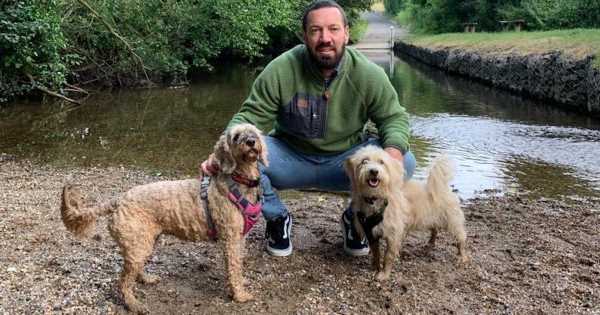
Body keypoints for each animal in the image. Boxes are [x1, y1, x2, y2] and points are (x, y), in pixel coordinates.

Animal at [60, 123, 268, 314]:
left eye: (254, 132)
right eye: (236, 136)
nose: (251, 142)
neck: (240, 182)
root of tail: (118, 200)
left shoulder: (239, 238)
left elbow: (238, 264)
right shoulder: (230, 239)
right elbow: (233, 268)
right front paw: (239, 295)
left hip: (145, 242)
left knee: (135, 270)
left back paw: (147, 279)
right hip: (138, 245)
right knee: (123, 282)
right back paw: (134, 304)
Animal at [342, 147, 468, 282]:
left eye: (381, 162)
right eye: (364, 161)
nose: (374, 171)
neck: (375, 198)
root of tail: (442, 187)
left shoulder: (393, 236)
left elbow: (388, 257)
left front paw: (384, 274)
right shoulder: (371, 233)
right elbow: (376, 253)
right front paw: (375, 267)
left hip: (452, 221)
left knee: (461, 238)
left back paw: (462, 256)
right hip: (429, 218)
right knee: (435, 229)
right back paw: (431, 243)